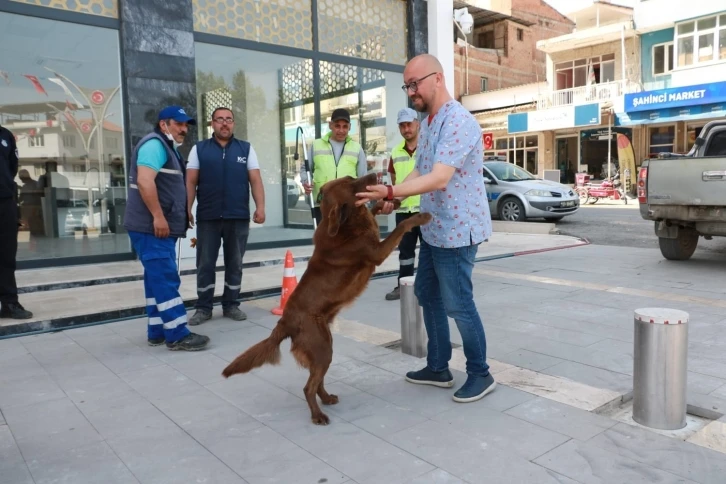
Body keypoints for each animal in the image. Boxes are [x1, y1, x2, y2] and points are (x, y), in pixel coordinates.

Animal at [222, 173, 432, 424]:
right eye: (351, 183)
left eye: (352, 177)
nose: (374, 174)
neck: (347, 223)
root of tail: (284, 322)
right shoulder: (376, 252)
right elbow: (400, 226)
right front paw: (420, 216)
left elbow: (375, 211)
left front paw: (391, 202)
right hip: (321, 346)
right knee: (308, 387)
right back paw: (318, 415)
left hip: (325, 345)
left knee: (317, 379)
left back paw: (327, 398)